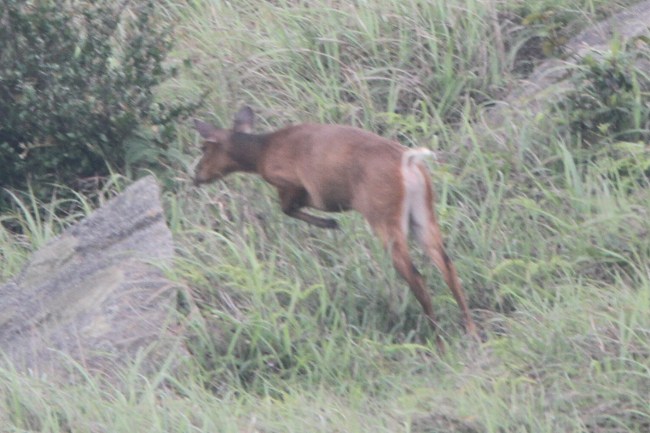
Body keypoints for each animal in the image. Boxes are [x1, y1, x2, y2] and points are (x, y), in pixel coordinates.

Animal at [193, 106, 478, 349]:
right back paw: (469, 330)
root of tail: (409, 163)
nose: (195, 175)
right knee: (447, 265)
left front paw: (330, 223)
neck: (263, 152)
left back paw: (438, 339)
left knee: (416, 275)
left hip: (384, 217)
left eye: (204, 147)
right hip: (422, 215)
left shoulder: (292, 183)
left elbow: (288, 207)